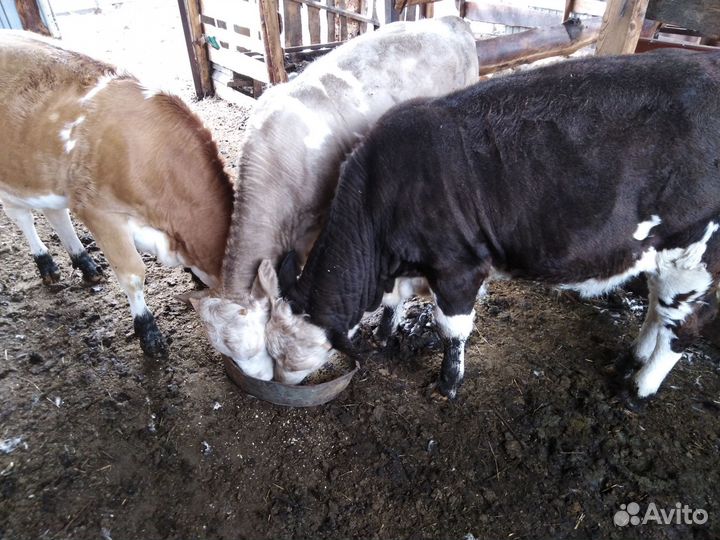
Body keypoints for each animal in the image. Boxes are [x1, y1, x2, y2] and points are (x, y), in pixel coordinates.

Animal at [0, 31, 234, 356]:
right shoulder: (99, 213)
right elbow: (134, 275)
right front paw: (148, 333)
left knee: (55, 213)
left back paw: (85, 263)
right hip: (12, 177)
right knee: (22, 216)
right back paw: (46, 263)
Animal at [273, 48, 720, 399]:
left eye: (290, 354)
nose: (278, 381)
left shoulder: (458, 266)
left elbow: (450, 330)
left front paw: (448, 383)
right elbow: (392, 303)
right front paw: (384, 336)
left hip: (694, 255)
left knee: (684, 326)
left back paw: (639, 389)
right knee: (658, 310)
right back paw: (632, 358)